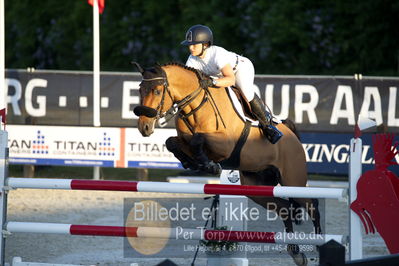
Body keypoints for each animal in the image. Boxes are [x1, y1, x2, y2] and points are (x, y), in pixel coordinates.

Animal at [134, 62, 322, 266]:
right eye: (140, 89)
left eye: (157, 91)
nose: (144, 127)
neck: (197, 106)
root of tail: (292, 135)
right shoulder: (185, 140)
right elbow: (172, 142)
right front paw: (193, 162)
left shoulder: (225, 145)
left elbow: (198, 140)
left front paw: (209, 165)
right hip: (257, 186)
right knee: (285, 209)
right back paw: (297, 254)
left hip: (292, 180)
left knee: (312, 205)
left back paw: (321, 243)